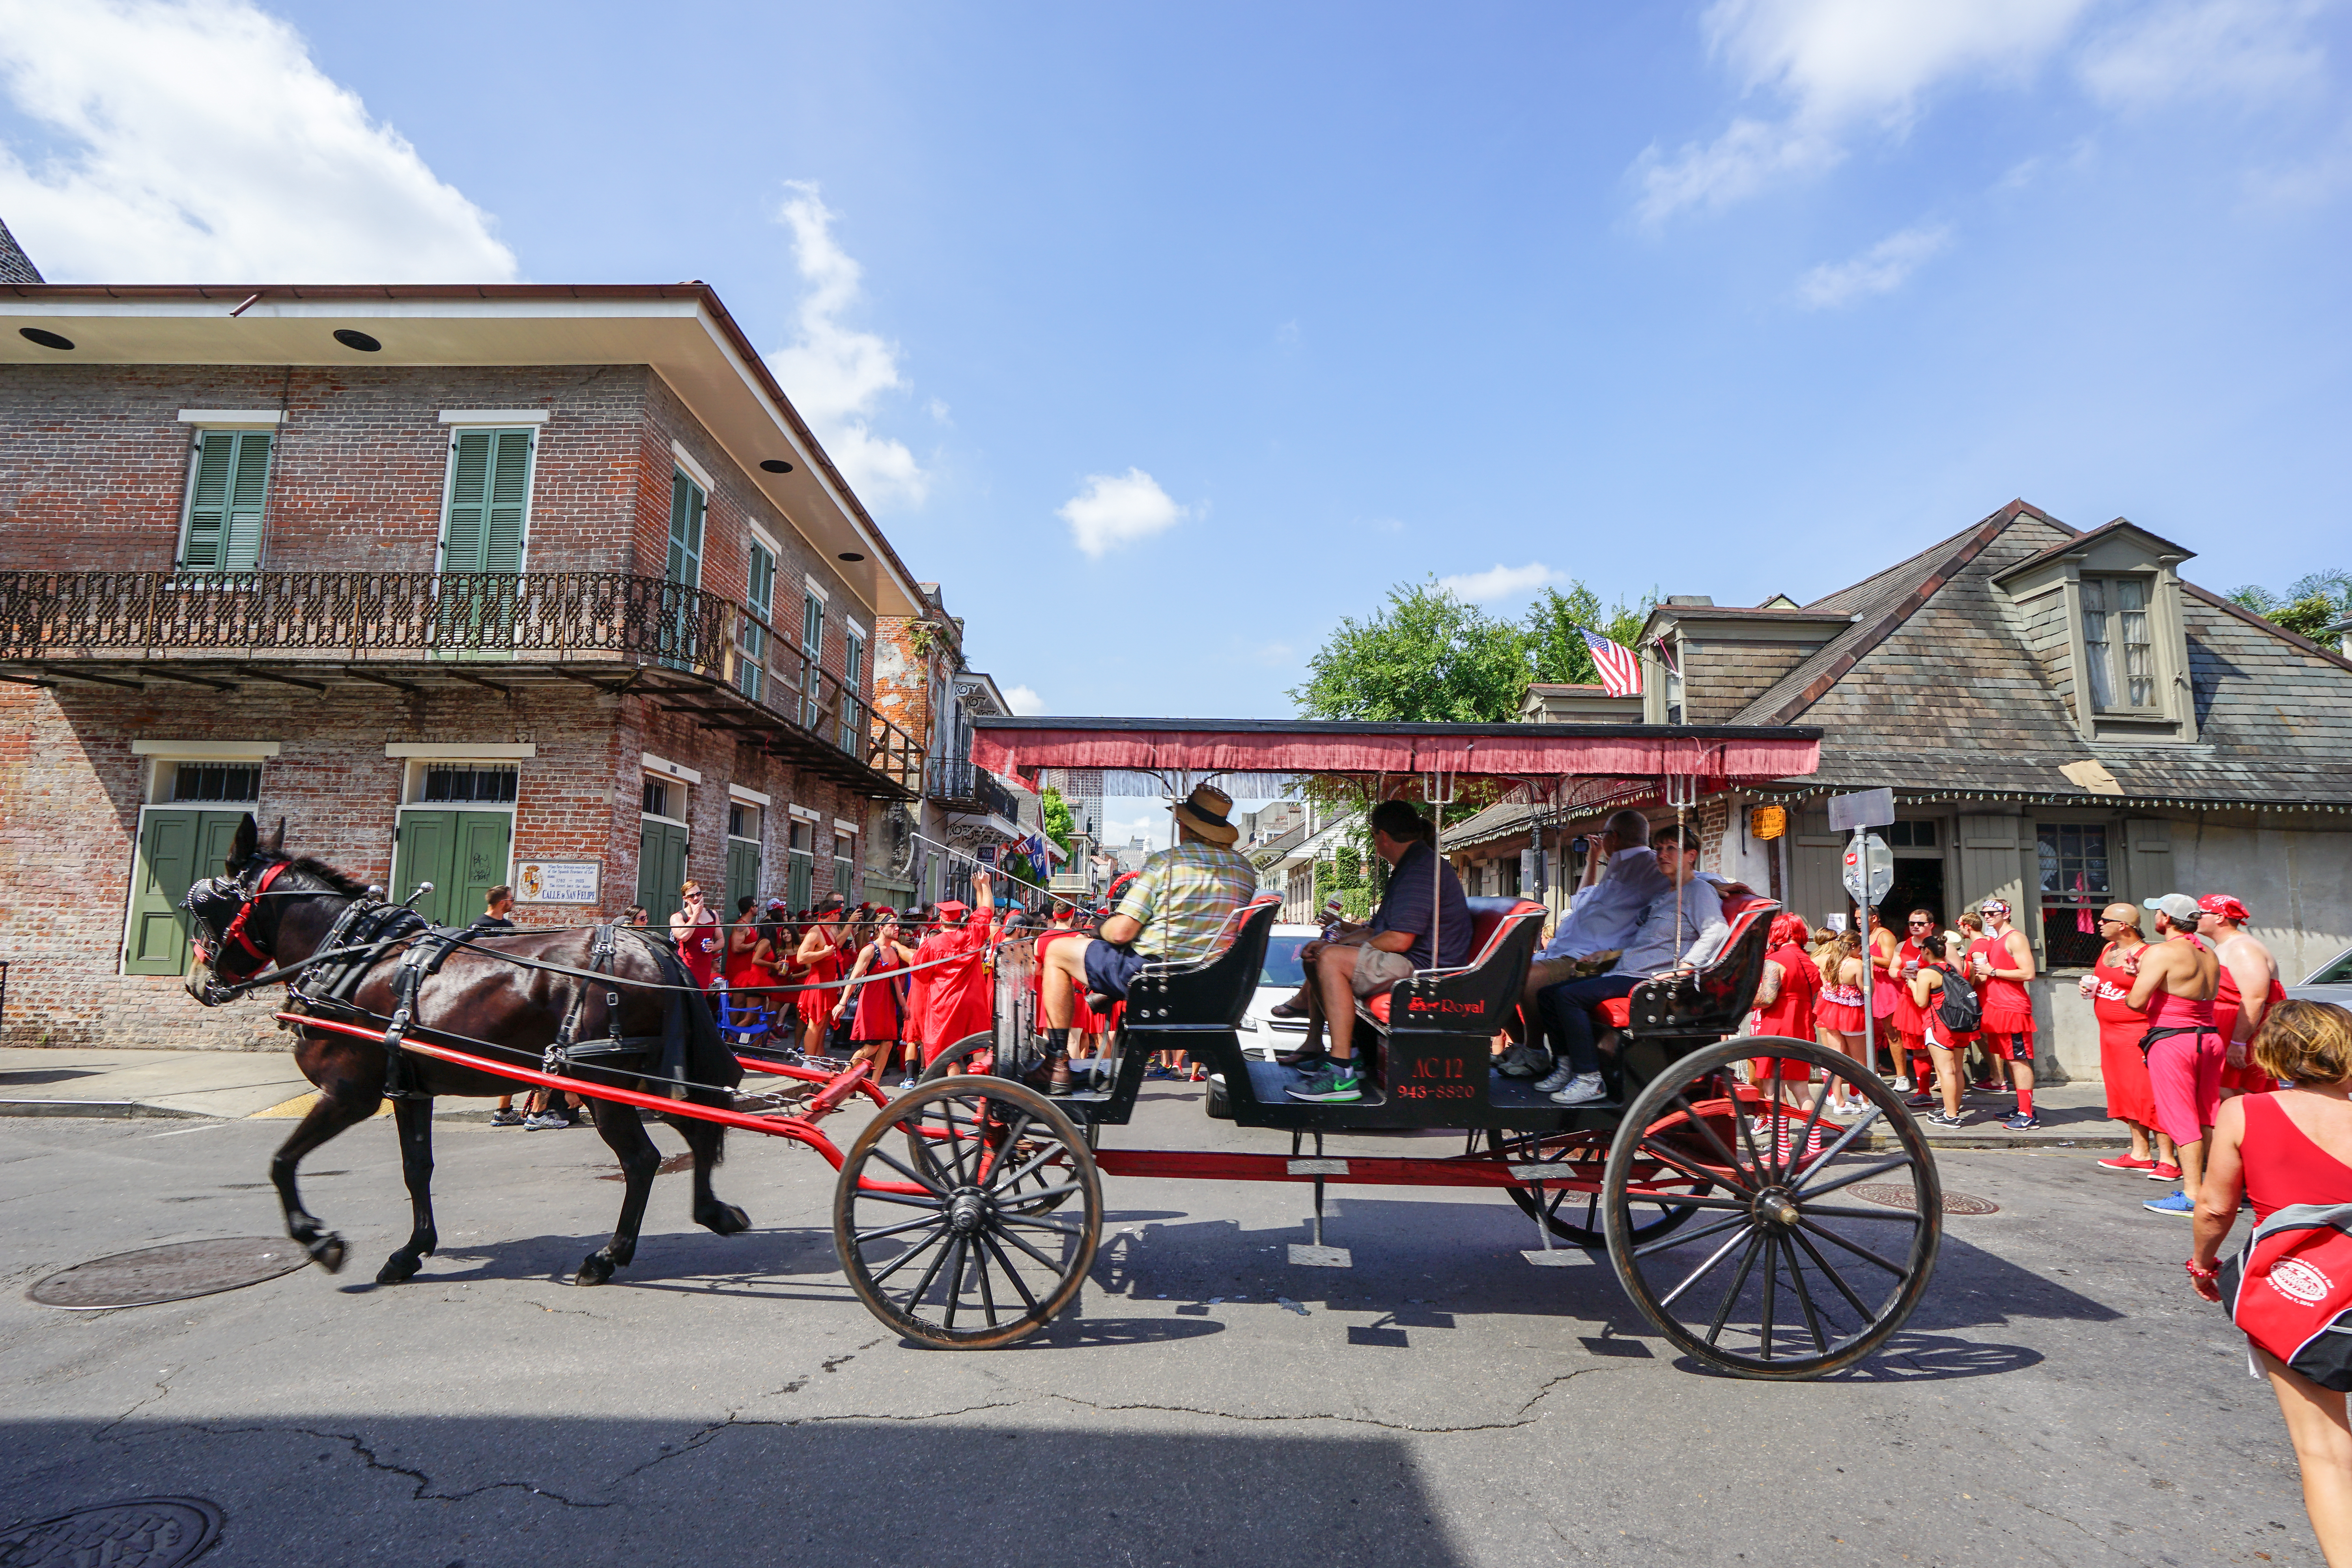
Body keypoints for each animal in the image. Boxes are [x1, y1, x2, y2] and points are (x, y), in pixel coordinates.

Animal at [187, 818, 748, 1278]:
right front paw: (411, 1250)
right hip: (652, 1073)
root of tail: (651, 946)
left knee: (641, 1159)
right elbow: (417, 1168)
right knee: (698, 1132)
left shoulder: (348, 1092)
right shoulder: (409, 1090)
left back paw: (608, 1256)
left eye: (206, 904)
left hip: (604, 1083)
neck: (351, 958)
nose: (197, 982)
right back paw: (715, 1213)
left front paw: (319, 1241)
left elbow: (282, 1162)